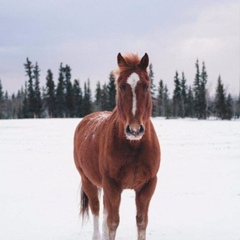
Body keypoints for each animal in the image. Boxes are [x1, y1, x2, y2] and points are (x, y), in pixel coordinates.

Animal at [73, 53, 159, 240]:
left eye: (146, 86)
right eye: (121, 87)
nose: (134, 129)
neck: (134, 147)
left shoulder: (148, 185)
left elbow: (141, 222)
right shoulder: (112, 185)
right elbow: (112, 223)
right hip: (88, 181)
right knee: (96, 210)